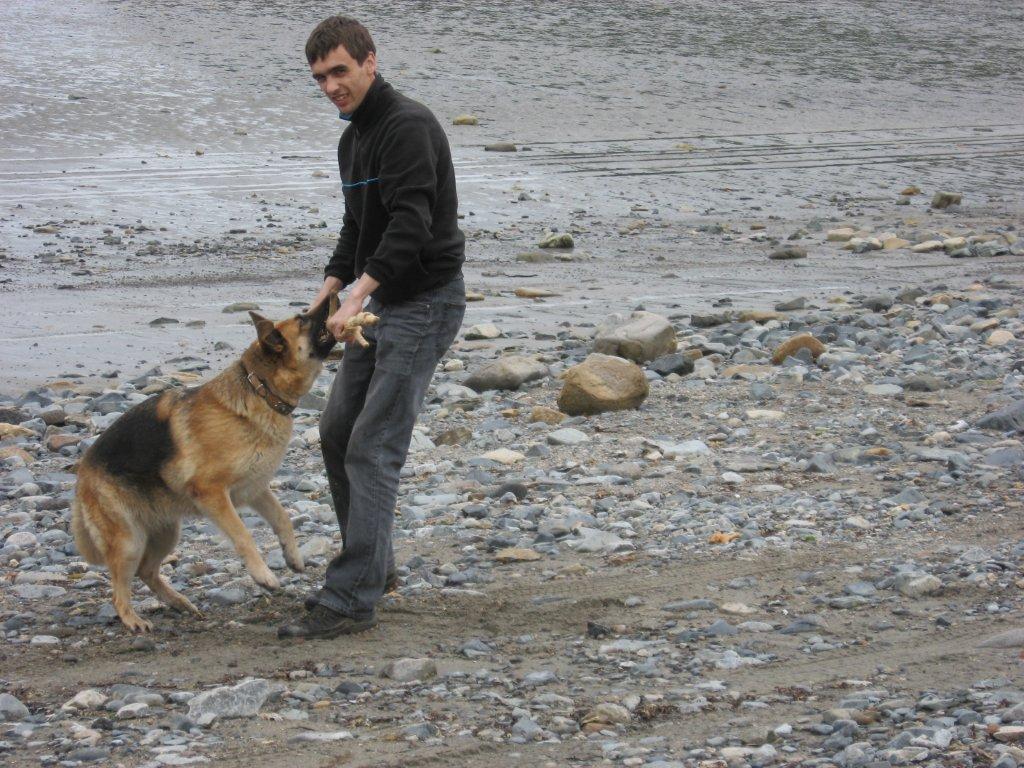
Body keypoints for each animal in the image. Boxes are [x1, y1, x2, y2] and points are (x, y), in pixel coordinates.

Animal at [71, 295, 364, 632]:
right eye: (302, 319)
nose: (335, 295)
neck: (260, 390)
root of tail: (82, 472)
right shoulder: (213, 494)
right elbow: (243, 536)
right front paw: (263, 575)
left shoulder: (254, 489)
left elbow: (283, 519)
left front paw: (292, 556)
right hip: (130, 540)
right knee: (119, 589)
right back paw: (133, 619)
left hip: (165, 533)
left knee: (146, 571)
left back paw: (178, 602)